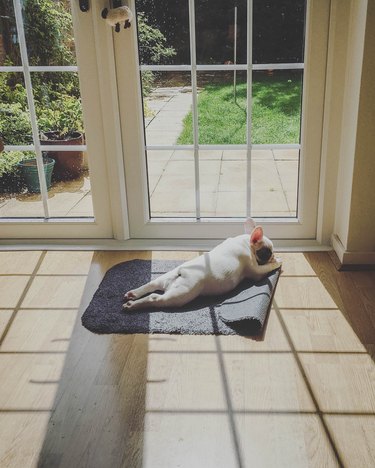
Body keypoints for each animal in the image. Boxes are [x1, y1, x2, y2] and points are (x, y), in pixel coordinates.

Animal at [123, 218, 282, 312]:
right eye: (267, 252)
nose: (273, 255)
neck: (244, 241)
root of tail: (180, 272)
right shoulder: (256, 270)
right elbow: (266, 268)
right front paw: (277, 261)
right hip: (180, 294)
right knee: (155, 297)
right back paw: (133, 305)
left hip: (166, 278)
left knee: (152, 284)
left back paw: (133, 294)